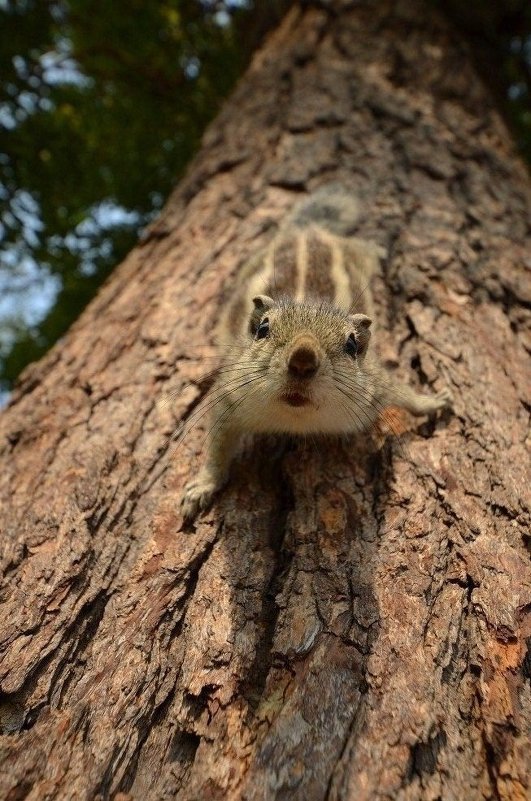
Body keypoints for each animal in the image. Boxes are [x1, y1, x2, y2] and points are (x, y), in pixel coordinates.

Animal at [181, 183, 450, 520]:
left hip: (355, 255)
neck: (297, 417)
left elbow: (402, 392)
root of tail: (307, 230)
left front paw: (431, 401)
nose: (302, 361)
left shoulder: (374, 386)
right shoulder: (228, 397)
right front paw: (202, 486)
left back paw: (379, 249)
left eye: (352, 345)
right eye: (262, 329)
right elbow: (216, 448)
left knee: (362, 246)